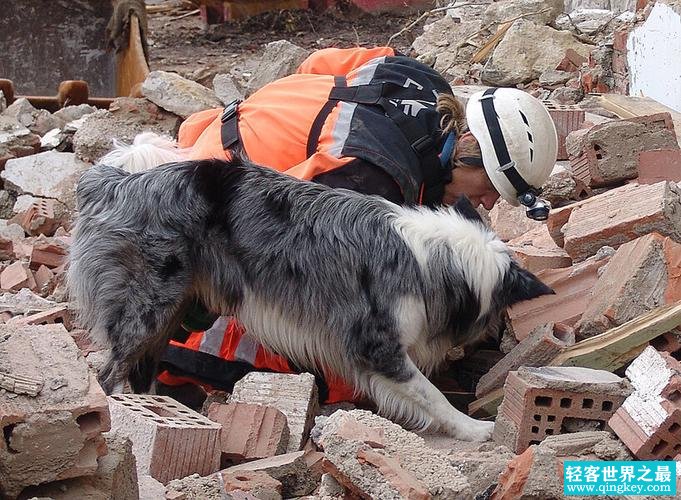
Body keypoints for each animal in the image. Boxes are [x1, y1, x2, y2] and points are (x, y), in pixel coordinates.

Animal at [66, 156, 548, 442]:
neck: (438, 257)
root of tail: (113, 184)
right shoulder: (375, 346)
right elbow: (431, 396)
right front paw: (474, 428)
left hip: (171, 310)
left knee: (143, 368)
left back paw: (158, 409)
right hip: (147, 309)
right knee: (110, 374)